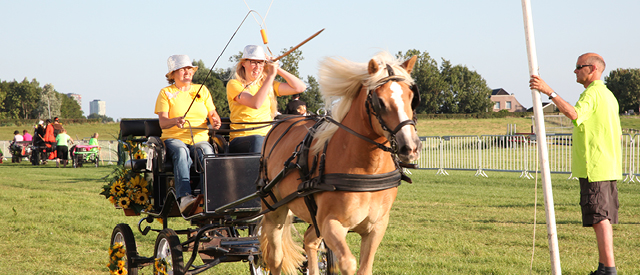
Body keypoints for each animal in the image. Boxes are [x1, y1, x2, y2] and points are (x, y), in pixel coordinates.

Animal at [258, 52, 422, 275]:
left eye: (412, 98)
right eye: (379, 101)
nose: (410, 147)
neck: (367, 171)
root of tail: (280, 122)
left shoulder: (377, 226)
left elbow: (364, 268)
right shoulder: (331, 223)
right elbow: (348, 262)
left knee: (309, 241)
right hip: (274, 211)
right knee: (276, 259)